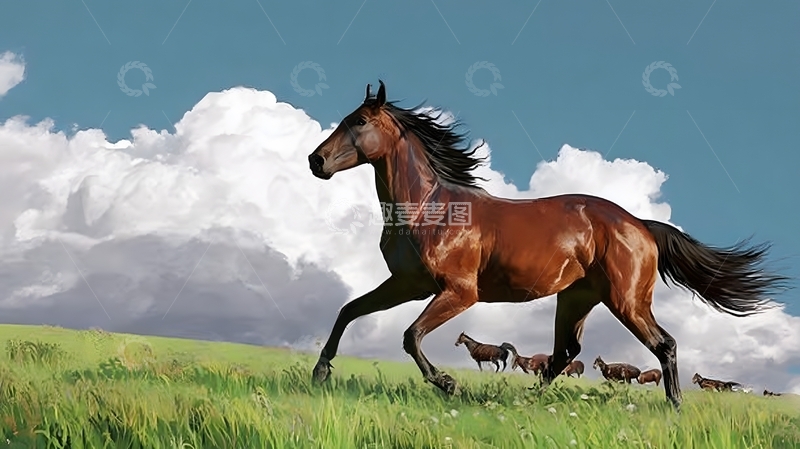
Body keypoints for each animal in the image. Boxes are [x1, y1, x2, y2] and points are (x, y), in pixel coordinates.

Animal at [307, 80, 789, 409]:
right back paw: (525, 400)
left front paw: (447, 383)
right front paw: (320, 372)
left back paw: (674, 407)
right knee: (564, 353)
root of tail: (642, 225)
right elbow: (348, 310)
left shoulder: (459, 292)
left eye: (360, 121)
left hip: (627, 300)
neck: (431, 208)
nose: (316, 160)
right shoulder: (407, 284)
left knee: (663, 344)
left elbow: (410, 336)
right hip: (576, 298)